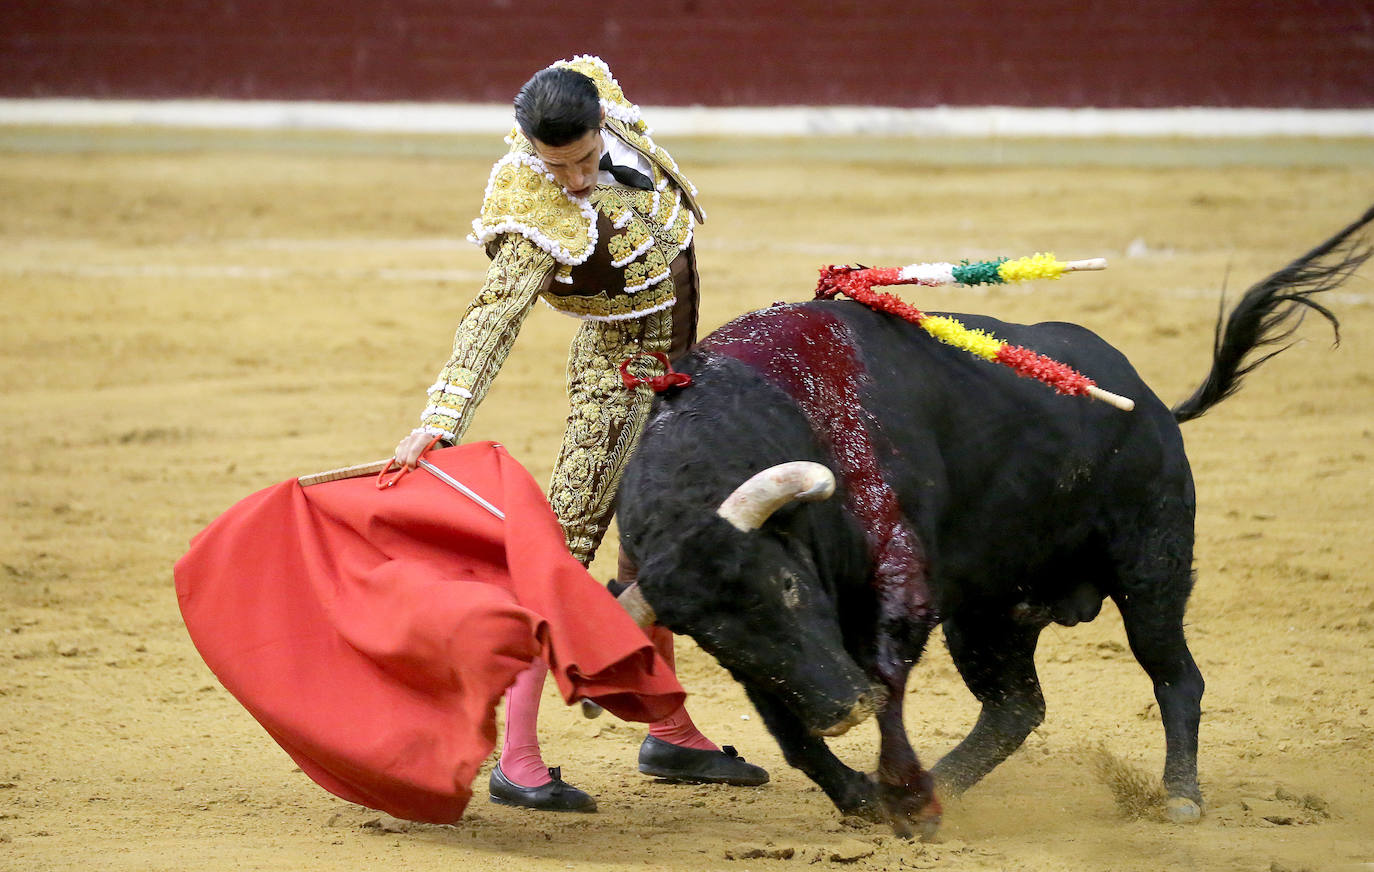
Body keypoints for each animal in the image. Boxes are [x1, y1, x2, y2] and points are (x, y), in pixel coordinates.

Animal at [615, 205, 1374, 840]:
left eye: (788, 586)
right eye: (710, 638)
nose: (840, 710)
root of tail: (1154, 403)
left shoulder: (899, 583)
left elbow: (885, 679)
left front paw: (901, 795)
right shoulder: (772, 661)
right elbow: (788, 729)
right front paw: (870, 797)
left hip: (1151, 568)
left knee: (1175, 675)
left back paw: (1180, 795)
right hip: (990, 612)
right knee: (1016, 708)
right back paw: (944, 786)